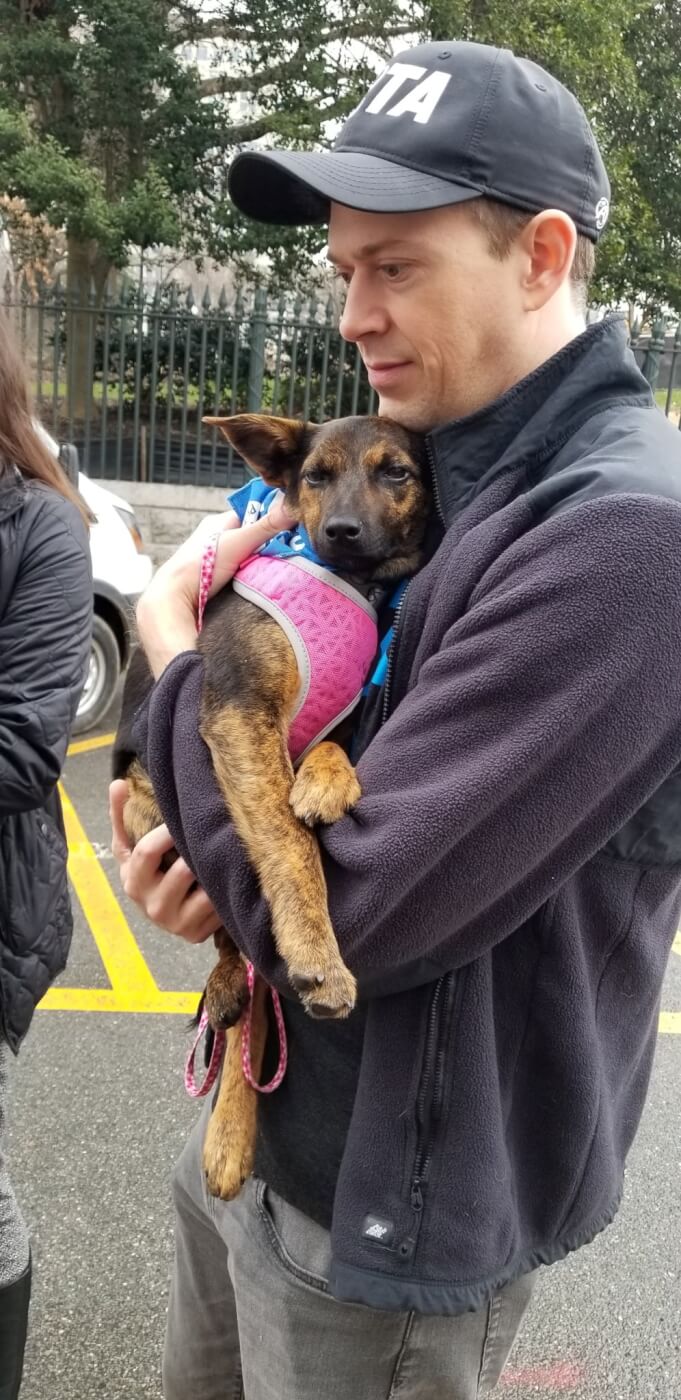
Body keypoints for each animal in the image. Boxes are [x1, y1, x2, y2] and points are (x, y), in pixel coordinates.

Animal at [113, 408, 428, 1198]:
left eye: (396, 473)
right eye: (313, 478)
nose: (341, 530)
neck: (348, 581)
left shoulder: (332, 716)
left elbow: (329, 751)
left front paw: (326, 780)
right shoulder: (238, 714)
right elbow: (289, 846)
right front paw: (318, 953)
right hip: (153, 808)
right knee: (236, 941)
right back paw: (231, 992)